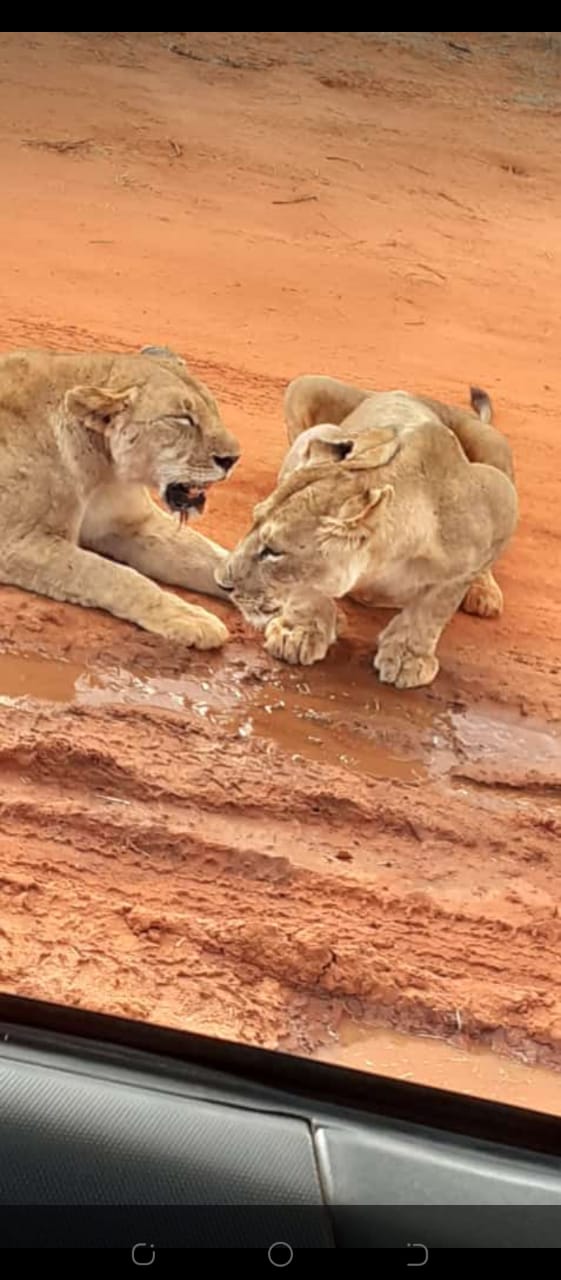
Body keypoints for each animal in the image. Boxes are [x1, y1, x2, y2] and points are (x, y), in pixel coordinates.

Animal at [0, 345, 240, 648]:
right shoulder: (17, 541)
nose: (233, 459)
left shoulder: (135, 525)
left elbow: (215, 557)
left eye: (215, 410)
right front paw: (190, 618)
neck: (104, 472)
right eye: (183, 419)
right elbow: (114, 575)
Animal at [216, 374, 518, 688]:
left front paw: (407, 657)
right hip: (304, 386)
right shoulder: (316, 437)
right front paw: (297, 633)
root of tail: (411, 393)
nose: (221, 583)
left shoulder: (500, 499)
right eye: (252, 522)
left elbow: (435, 605)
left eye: (273, 552)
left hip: (496, 450)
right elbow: (310, 587)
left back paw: (484, 594)